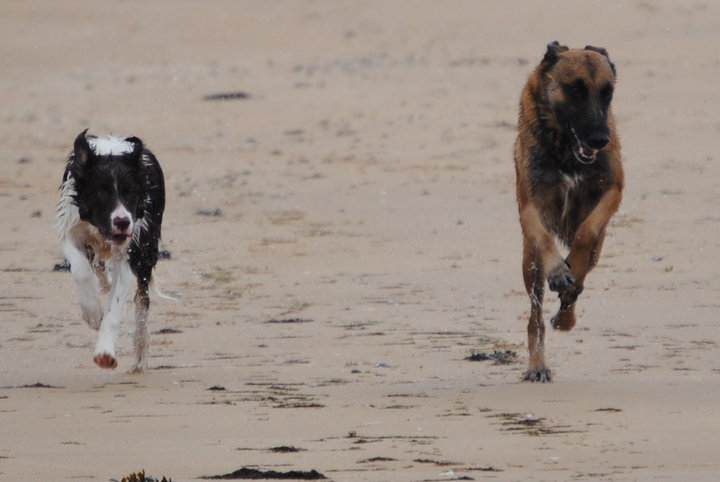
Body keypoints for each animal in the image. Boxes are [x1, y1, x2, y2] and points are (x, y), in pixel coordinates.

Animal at [57, 129, 165, 372]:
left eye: (130, 192)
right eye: (100, 193)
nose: (122, 221)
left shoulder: (131, 252)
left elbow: (115, 309)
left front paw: (105, 353)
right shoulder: (72, 230)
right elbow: (81, 270)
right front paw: (92, 312)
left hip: (146, 252)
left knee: (142, 300)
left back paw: (140, 353)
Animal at [512, 41, 624, 382]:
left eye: (607, 92)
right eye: (575, 89)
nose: (601, 139)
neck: (565, 148)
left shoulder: (612, 191)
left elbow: (586, 232)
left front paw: (571, 270)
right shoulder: (530, 207)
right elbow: (546, 239)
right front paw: (560, 271)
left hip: (598, 250)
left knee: (583, 276)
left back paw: (567, 315)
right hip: (530, 264)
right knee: (535, 316)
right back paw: (537, 364)